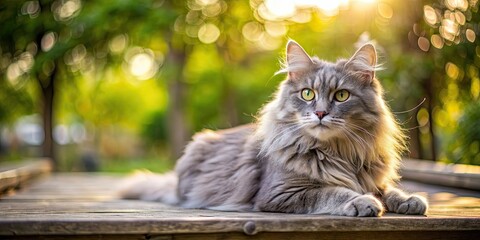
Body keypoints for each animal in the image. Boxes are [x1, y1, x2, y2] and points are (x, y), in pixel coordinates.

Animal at [122, 40, 430, 217]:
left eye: (342, 95)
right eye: (307, 94)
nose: (320, 113)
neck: (338, 151)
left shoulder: (372, 178)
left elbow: (389, 190)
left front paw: (410, 200)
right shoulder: (282, 193)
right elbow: (332, 191)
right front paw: (363, 202)